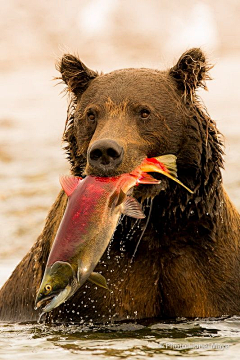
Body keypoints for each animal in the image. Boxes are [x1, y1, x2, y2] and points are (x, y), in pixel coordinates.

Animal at [0, 48, 239, 324]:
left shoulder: (208, 265)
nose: (105, 151)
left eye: (144, 111)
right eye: (91, 114)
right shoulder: (103, 281)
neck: (156, 224)